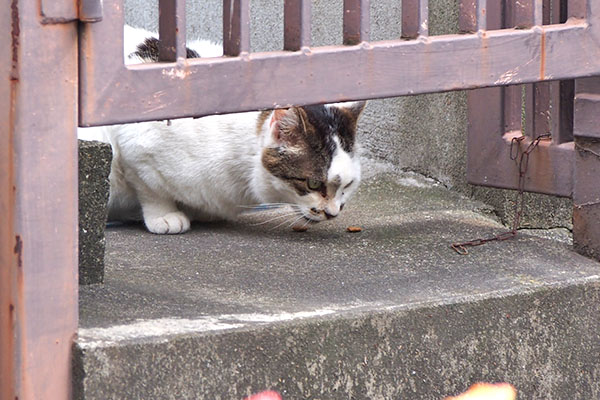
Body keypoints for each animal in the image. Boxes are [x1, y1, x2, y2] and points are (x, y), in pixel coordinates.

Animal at [79, 25, 366, 234]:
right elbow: (150, 189)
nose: (333, 213)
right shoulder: (134, 147)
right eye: (313, 182)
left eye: (348, 184)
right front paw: (165, 215)